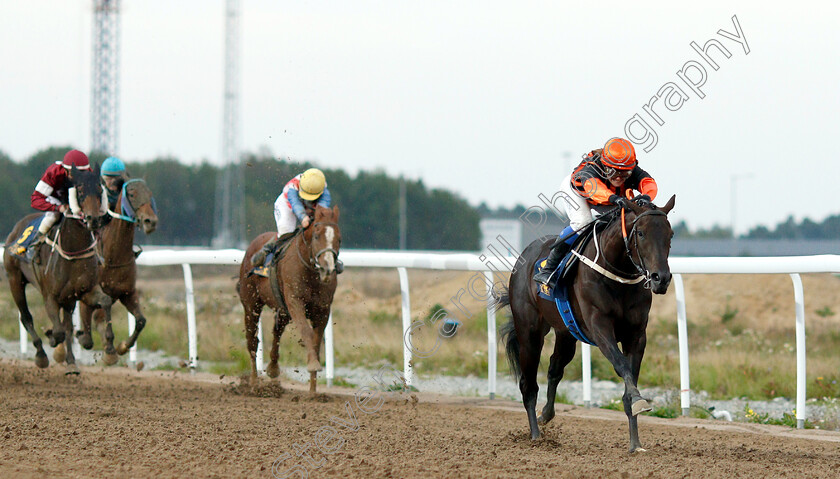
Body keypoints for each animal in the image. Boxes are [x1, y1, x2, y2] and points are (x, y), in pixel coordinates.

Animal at [2, 167, 110, 374]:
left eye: (100, 190)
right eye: (80, 190)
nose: (93, 219)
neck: (73, 251)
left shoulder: (83, 291)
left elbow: (105, 301)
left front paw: (101, 341)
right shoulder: (50, 296)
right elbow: (58, 331)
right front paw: (50, 336)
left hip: (67, 299)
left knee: (66, 324)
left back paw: (72, 362)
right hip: (14, 280)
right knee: (26, 317)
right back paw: (41, 355)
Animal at [78, 178, 159, 366]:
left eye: (150, 194)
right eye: (132, 194)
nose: (150, 221)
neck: (113, 257)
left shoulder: (127, 292)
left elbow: (141, 321)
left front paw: (122, 347)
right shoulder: (92, 292)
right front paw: (108, 349)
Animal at [236, 206, 342, 394]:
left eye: (339, 239)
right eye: (316, 236)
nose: (327, 269)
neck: (310, 271)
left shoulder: (323, 309)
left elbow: (316, 342)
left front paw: (313, 390)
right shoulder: (295, 302)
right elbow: (306, 332)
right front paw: (313, 365)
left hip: (282, 309)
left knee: (277, 332)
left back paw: (272, 370)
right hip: (251, 304)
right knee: (252, 341)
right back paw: (254, 383)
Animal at [498, 195, 676, 454]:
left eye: (670, 234)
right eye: (641, 233)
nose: (660, 278)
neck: (617, 273)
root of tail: (526, 255)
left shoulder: (636, 334)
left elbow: (630, 375)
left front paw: (635, 442)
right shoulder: (600, 327)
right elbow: (621, 365)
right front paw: (638, 401)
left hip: (566, 332)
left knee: (555, 368)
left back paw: (546, 414)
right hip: (529, 332)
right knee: (528, 384)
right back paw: (535, 435)